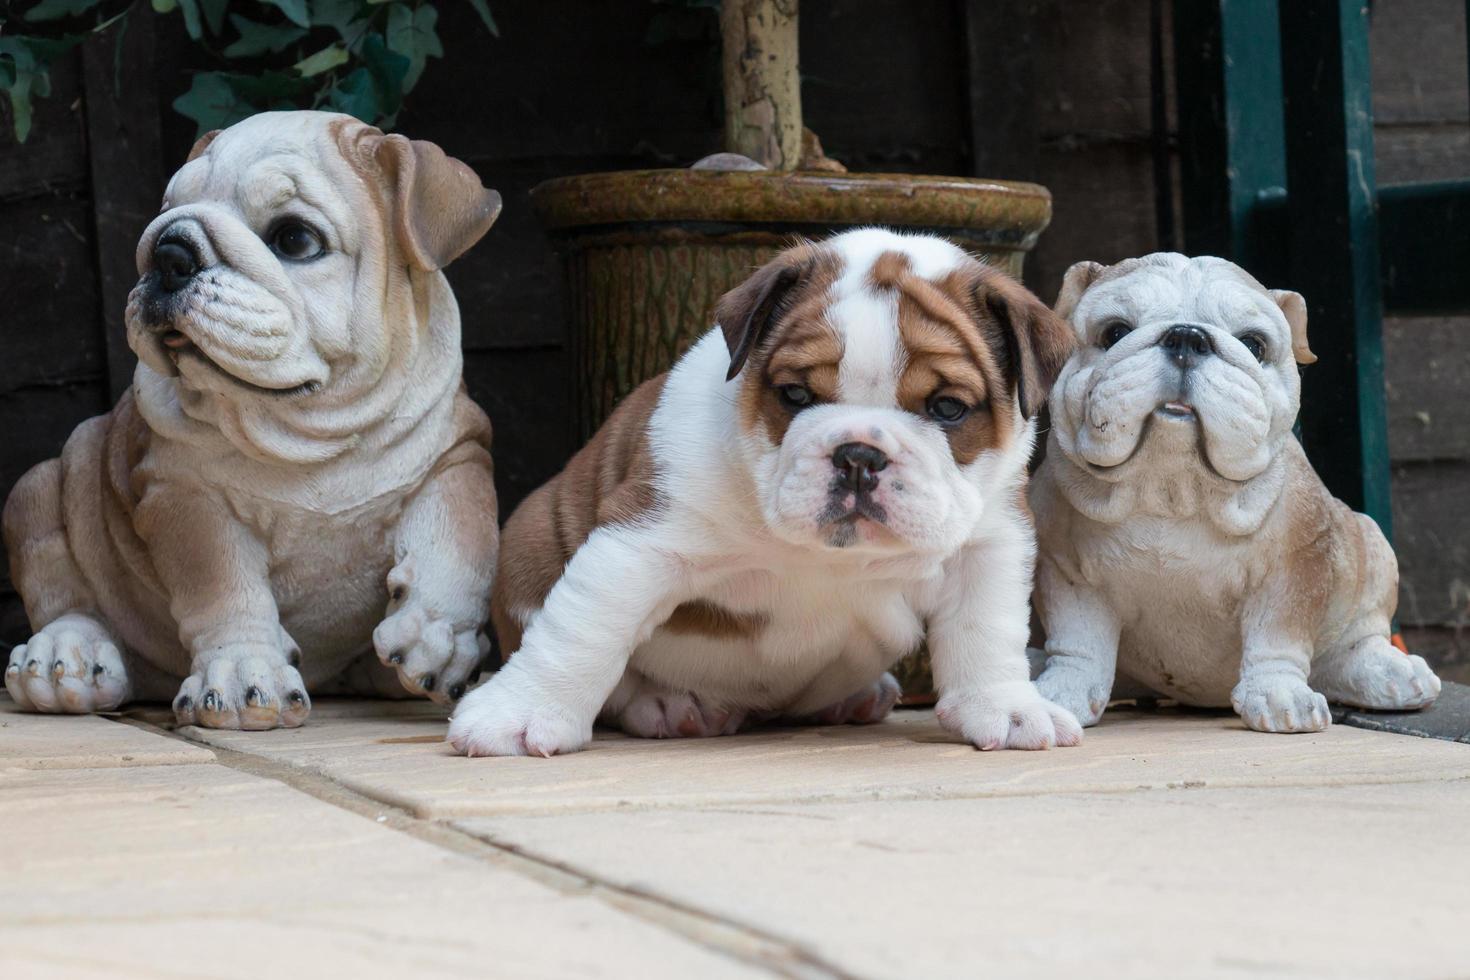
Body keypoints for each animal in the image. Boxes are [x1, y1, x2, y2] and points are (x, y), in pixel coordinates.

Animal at [2, 110, 502, 731]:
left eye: (294, 238)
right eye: (164, 211)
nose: (168, 251)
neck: (311, 428)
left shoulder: (458, 454)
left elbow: (459, 539)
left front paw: (439, 634)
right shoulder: (186, 497)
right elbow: (224, 589)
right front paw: (243, 670)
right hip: (42, 488)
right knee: (64, 594)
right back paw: (63, 655)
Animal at [446, 226, 1081, 758]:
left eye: (948, 408)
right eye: (795, 395)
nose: (858, 455)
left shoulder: (989, 542)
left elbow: (987, 628)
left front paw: (1006, 708)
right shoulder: (638, 545)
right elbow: (581, 631)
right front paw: (518, 713)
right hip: (530, 536)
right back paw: (667, 704)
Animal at [1029, 257, 1440, 731]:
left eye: (1253, 344)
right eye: (1114, 332)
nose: (1186, 336)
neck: (1171, 489)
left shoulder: (1294, 569)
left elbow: (1278, 638)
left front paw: (1279, 694)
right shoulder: (1068, 570)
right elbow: (1078, 642)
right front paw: (1063, 691)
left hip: (1369, 544)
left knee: (1356, 639)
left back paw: (1388, 673)